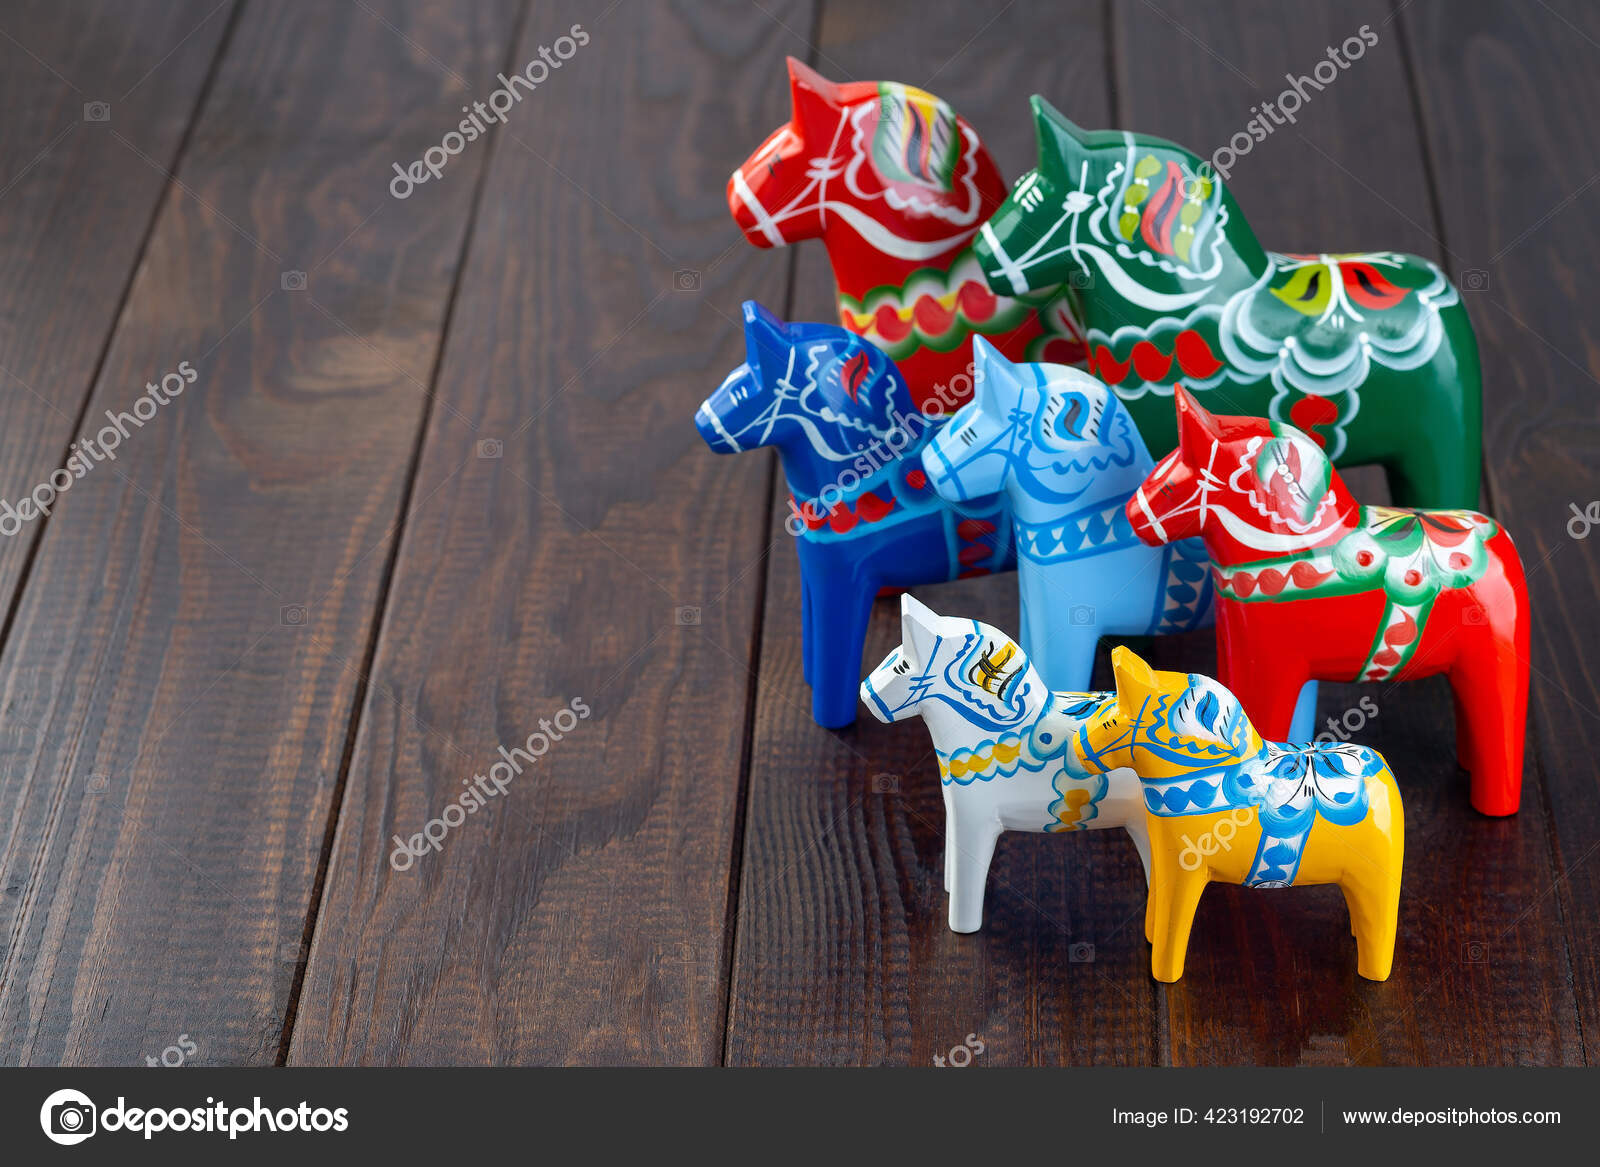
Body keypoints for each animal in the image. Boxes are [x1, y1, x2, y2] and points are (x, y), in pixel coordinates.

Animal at [1126, 387, 1523, 816]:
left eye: (1169, 486)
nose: (1131, 515)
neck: (1287, 552)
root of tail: (1506, 545)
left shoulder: (1271, 665)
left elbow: (1260, 725)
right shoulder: (1242, 653)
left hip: (1495, 662)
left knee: (1501, 729)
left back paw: (1495, 806)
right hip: (1463, 666)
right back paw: (1467, 763)